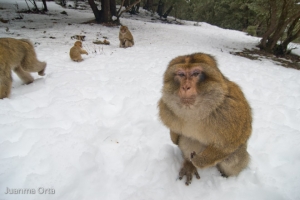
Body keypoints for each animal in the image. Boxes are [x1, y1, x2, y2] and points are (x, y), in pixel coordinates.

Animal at [158, 52, 252, 185]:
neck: (195, 110)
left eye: (195, 73)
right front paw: (174, 136)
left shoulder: (232, 109)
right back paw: (189, 164)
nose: (185, 87)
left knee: (233, 158)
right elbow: (178, 135)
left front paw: (200, 161)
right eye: (181, 74)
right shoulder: (166, 106)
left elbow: (233, 141)